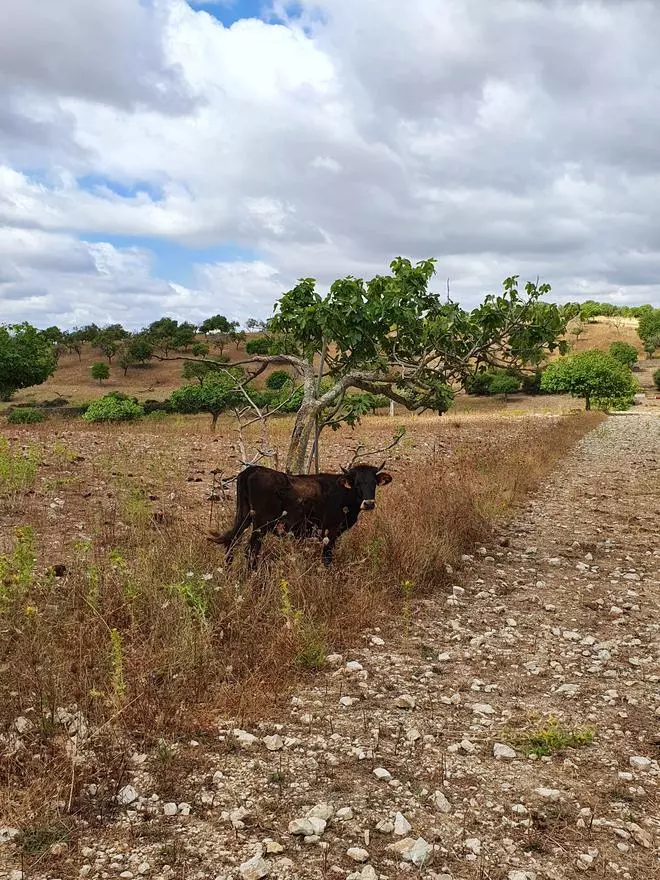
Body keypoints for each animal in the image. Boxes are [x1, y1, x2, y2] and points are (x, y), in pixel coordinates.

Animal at [211, 464, 392, 568]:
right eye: (356, 483)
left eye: (373, 482)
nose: (369, 503)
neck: (343, 493)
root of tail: (253, 469)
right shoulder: (331, 532)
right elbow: (327, 557)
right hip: (261, 524)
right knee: (250, 550)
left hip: (243, 516)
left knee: (232, 541)